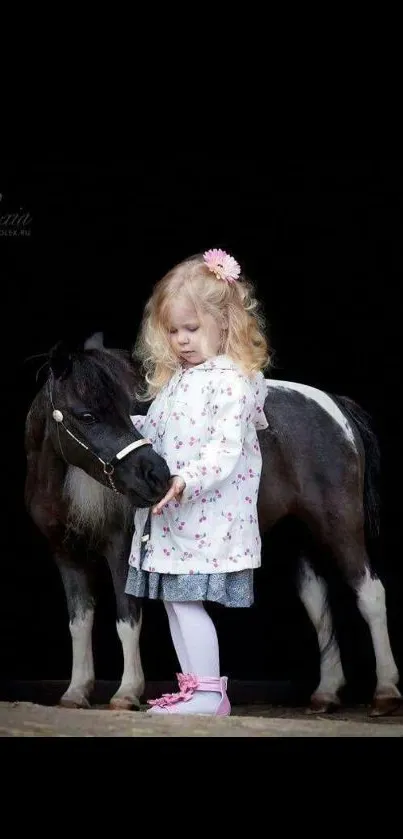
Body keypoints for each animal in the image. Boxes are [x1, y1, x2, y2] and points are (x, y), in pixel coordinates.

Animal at [23, 334, 402, 716]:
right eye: (86, 415)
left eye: (128, 410)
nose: (155, 476)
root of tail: (335, 407)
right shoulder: (66, 555)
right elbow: (79, 622)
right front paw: (76, 691)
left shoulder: (120, 550)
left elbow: (127, 620)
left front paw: (127, 692)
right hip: (301, 537)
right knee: (319, 605)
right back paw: (326, 693)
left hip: (340, 527)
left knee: (370, 594)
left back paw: (386, 692)